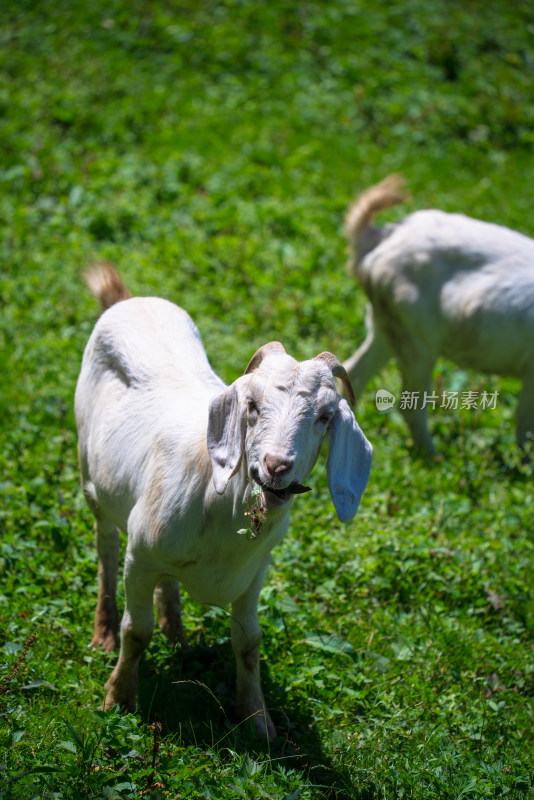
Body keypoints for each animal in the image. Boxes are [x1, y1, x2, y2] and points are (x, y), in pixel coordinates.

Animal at [75, 262, 374, 736]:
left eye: (326, 416)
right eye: (251, 405)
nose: (276, 466)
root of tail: (128, 300)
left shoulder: (254, 572)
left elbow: (249, 641)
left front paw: (257, 719)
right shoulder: (139, 557)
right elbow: (136, 631)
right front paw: (118, 698)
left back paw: (176, 632)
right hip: (93, 481)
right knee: (105, 546)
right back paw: (103, 631)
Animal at [344, 175, 534, 456]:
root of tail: (379, 238)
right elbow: (526, 425)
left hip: (386, 325)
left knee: (354, 372)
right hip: (415, 339)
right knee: (410, 405)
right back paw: (432, 457)